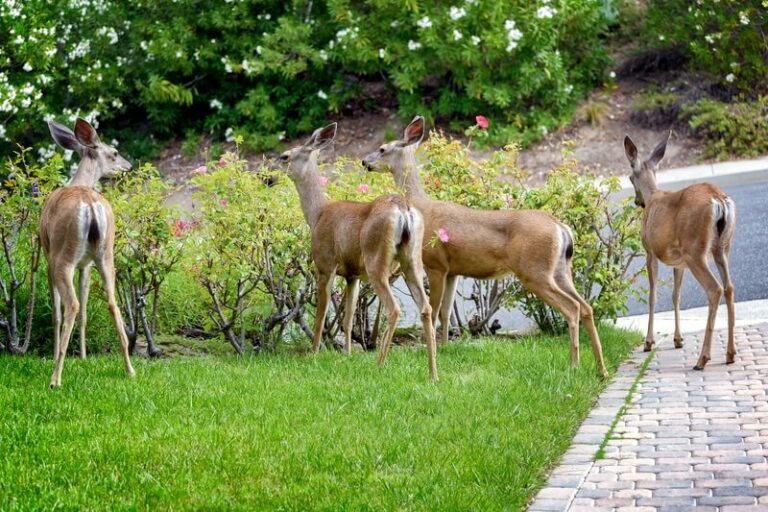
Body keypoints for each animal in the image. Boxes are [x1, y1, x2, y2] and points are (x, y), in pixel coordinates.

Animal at [42, 118, 135, 387]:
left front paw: (56, 354)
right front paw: (83, 356)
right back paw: (130, 369)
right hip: (105, 255)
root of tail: (91, 205)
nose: (129, 166)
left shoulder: (46, 253)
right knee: (112, 303)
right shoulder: (86, 264)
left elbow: (57, 311)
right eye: (114, 152)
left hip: (62, 256)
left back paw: (55, 377)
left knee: (71, 305)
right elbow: (85, 308)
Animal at [276, 122, 437, 380]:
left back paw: (379, 366)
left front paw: (313, 354)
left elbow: (321, 315)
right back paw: (433, 374)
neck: (317, 214)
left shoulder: (325, 263)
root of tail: (403, 208)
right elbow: (349, 317)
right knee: (426, 307)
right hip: (411, 259)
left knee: (393, 308)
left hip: (376, 259)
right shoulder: (353, 275)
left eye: (285, 156)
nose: (266, 176)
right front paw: (348, 355)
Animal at [363, 116, 607, 378]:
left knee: (572, 307)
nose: (365, 161)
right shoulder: (453, 270)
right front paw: (446, 347)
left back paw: (574, 365)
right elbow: (446, 311)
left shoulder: (436, 263)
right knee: (586, 306)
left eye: (382, 149)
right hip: (560, 269)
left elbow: (435, 308)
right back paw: (601, 369)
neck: (422, 206)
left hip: (535, 270)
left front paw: (432, 349)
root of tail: (561, 227)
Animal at [623, 133, 736, 370]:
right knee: (729, 287)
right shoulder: (679, 262)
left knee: (715, 289)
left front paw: (648, 342)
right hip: (722, 248)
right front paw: (678, 339)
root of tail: (719, 199)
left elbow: (653, 295)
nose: (638, 202)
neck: (653, 196)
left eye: (629, 177)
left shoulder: (650, 252)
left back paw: (702, 358)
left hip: (696, 250)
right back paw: (730, 354)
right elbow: (676, 296)